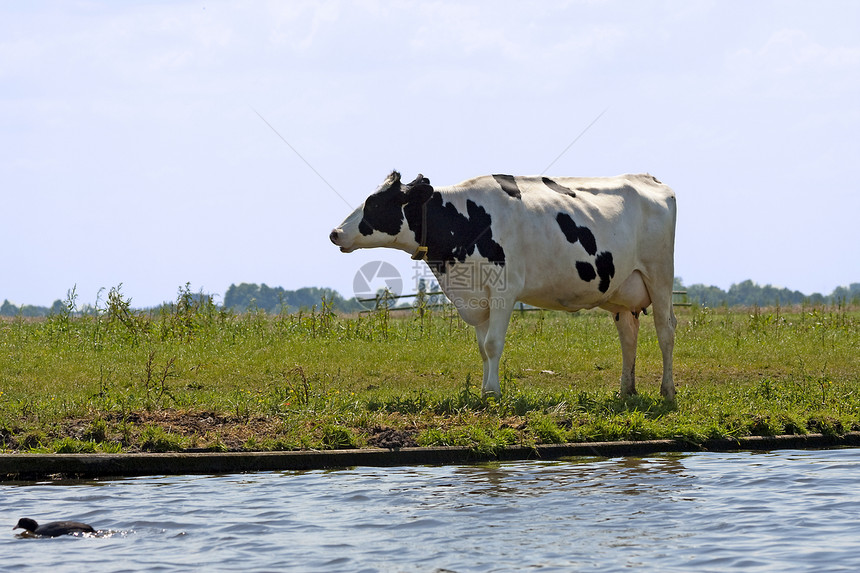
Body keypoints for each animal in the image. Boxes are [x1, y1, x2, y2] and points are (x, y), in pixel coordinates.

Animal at [330, 172, 680, 400]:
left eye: (376, 204)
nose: (335, 233)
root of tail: (648, 178)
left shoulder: (503, 290)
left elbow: (493, 344)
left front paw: (492, 393)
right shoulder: (475, 296)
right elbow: (482, 348)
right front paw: (486, 390)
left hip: (660, 275)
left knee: (665, 330)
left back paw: (667, 391)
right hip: (622, 291)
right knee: (628, 337)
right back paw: (626, 391)